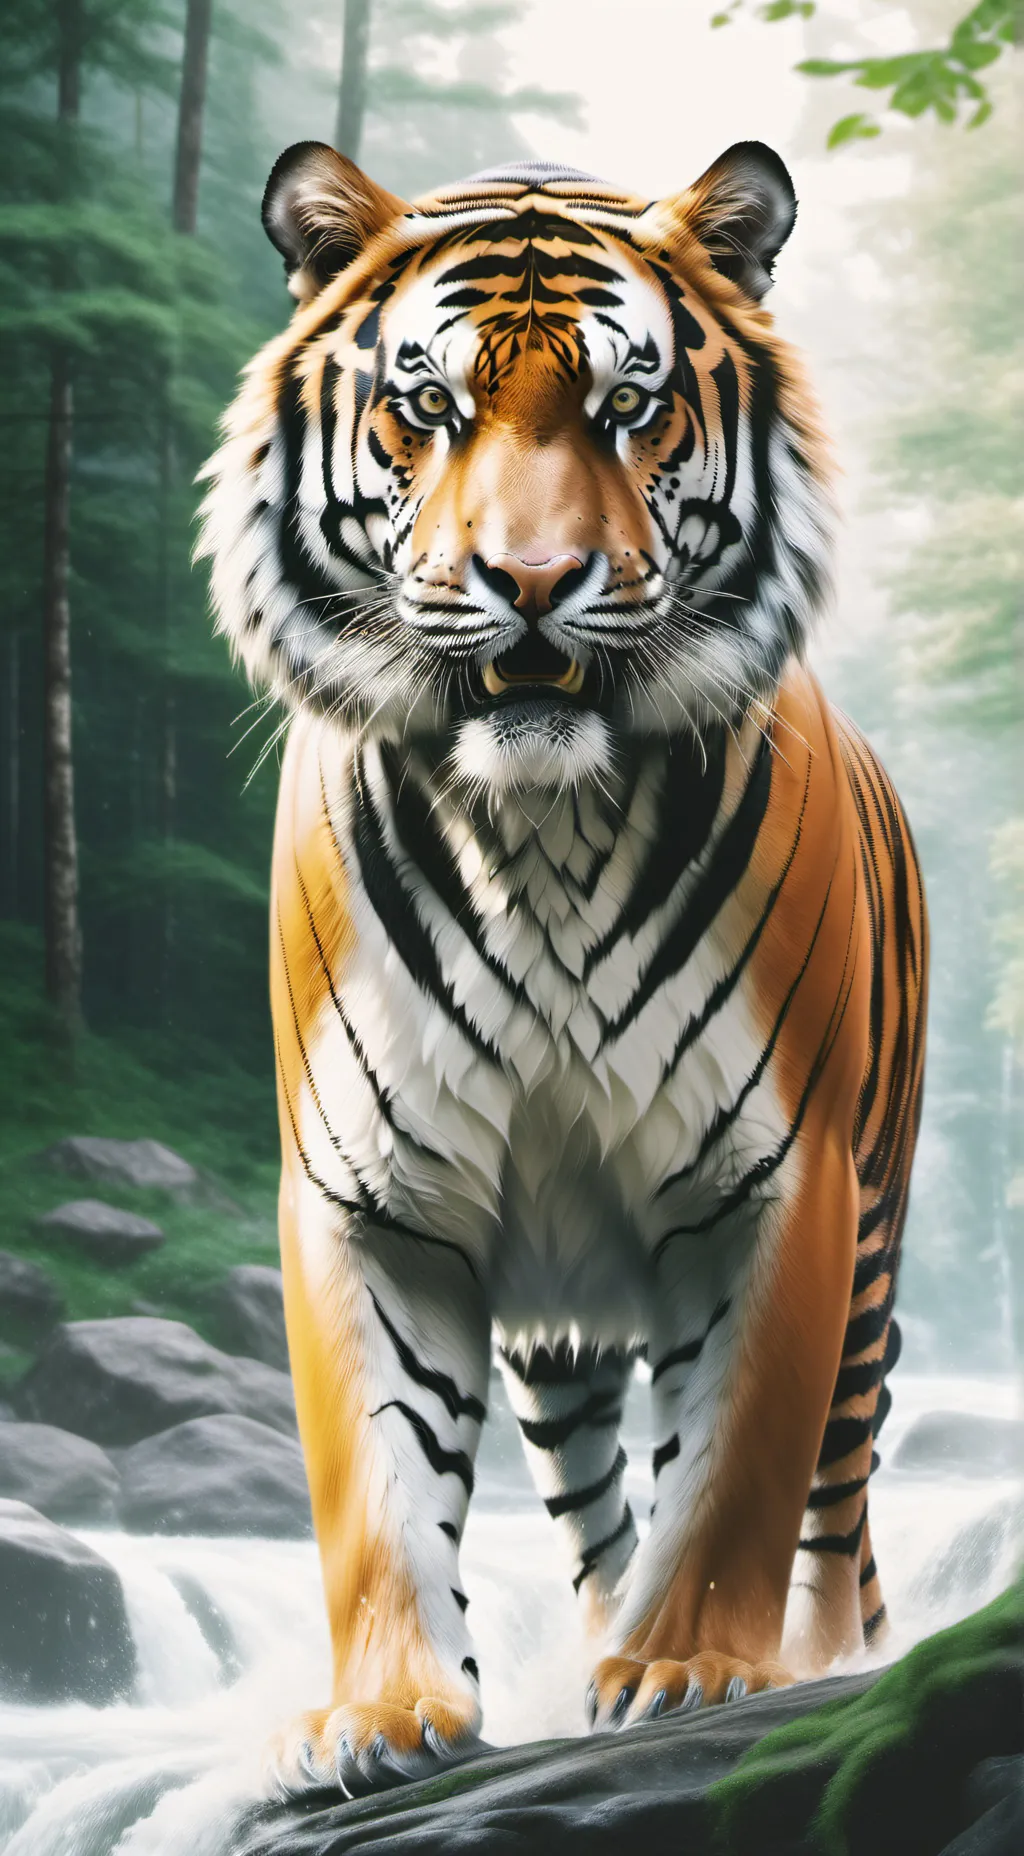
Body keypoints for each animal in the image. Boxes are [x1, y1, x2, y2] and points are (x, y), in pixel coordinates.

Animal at [199, 138, 927, 1797]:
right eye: (425, 407)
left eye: (629, 407)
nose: (532, 581)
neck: (536, 823)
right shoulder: (372, 1195)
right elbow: (377, 1490)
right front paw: (381, 1717)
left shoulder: (780, 1180)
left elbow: (739, 1469)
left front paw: (688, 1673)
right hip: (560, 1335)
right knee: (595, 1489)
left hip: (875, 1236)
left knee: (839, 1488)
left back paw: (829, 1659)